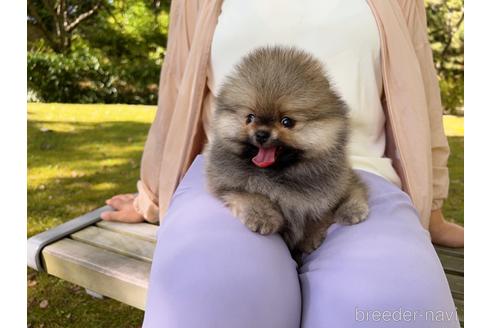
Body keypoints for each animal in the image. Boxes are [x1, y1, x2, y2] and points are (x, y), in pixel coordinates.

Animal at [204, 46, 368, 255]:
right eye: (250, 117)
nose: (261, 134)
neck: (278, 176)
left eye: (287, 122)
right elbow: (250, 195)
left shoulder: (327, 194)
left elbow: (324, 212)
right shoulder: (228, 185)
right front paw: (263, 216)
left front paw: (312, 238)